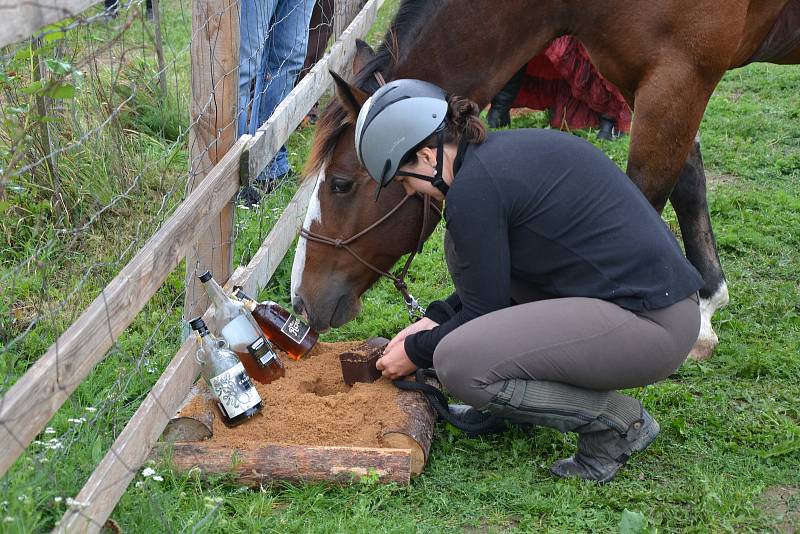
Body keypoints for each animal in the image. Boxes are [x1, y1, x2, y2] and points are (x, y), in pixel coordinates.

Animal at [290, 0, 800, 362]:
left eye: (340, 184)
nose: (299, 299)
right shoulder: (647, 77)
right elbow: (689, 180)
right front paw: (705, 309)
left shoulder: (680, 74)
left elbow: (648, 194)